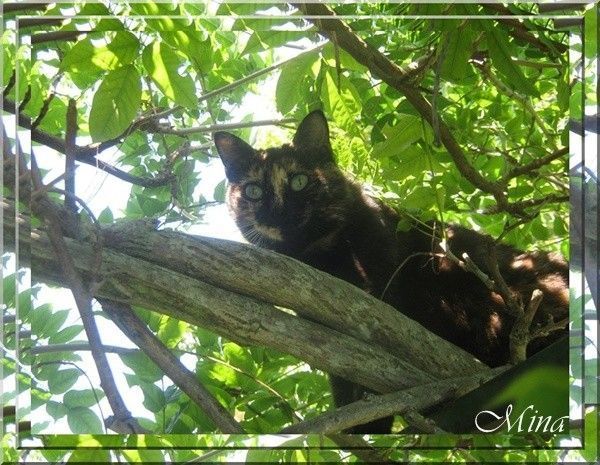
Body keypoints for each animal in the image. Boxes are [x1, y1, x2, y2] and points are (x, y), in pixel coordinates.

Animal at [213, 110, 568, 434]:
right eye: (254, 191)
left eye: (299, 181)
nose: (277, 211)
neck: (317, 258)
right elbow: (341, 367)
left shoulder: (382, 293)